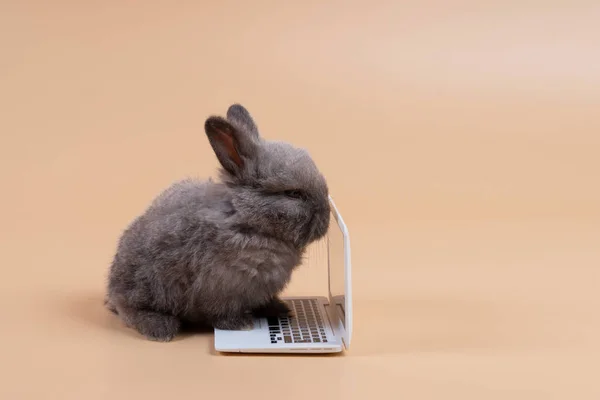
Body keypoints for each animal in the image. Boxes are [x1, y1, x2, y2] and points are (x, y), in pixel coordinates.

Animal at [106, 102, 332, 340]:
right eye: (293, 193)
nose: (326, 218)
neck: (246, 219)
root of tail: (112, 289)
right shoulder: (221, 287)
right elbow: (222, 313)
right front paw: (241, 324)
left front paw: (278, 308)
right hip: (147, 288)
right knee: (129, 309)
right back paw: (160, 328)